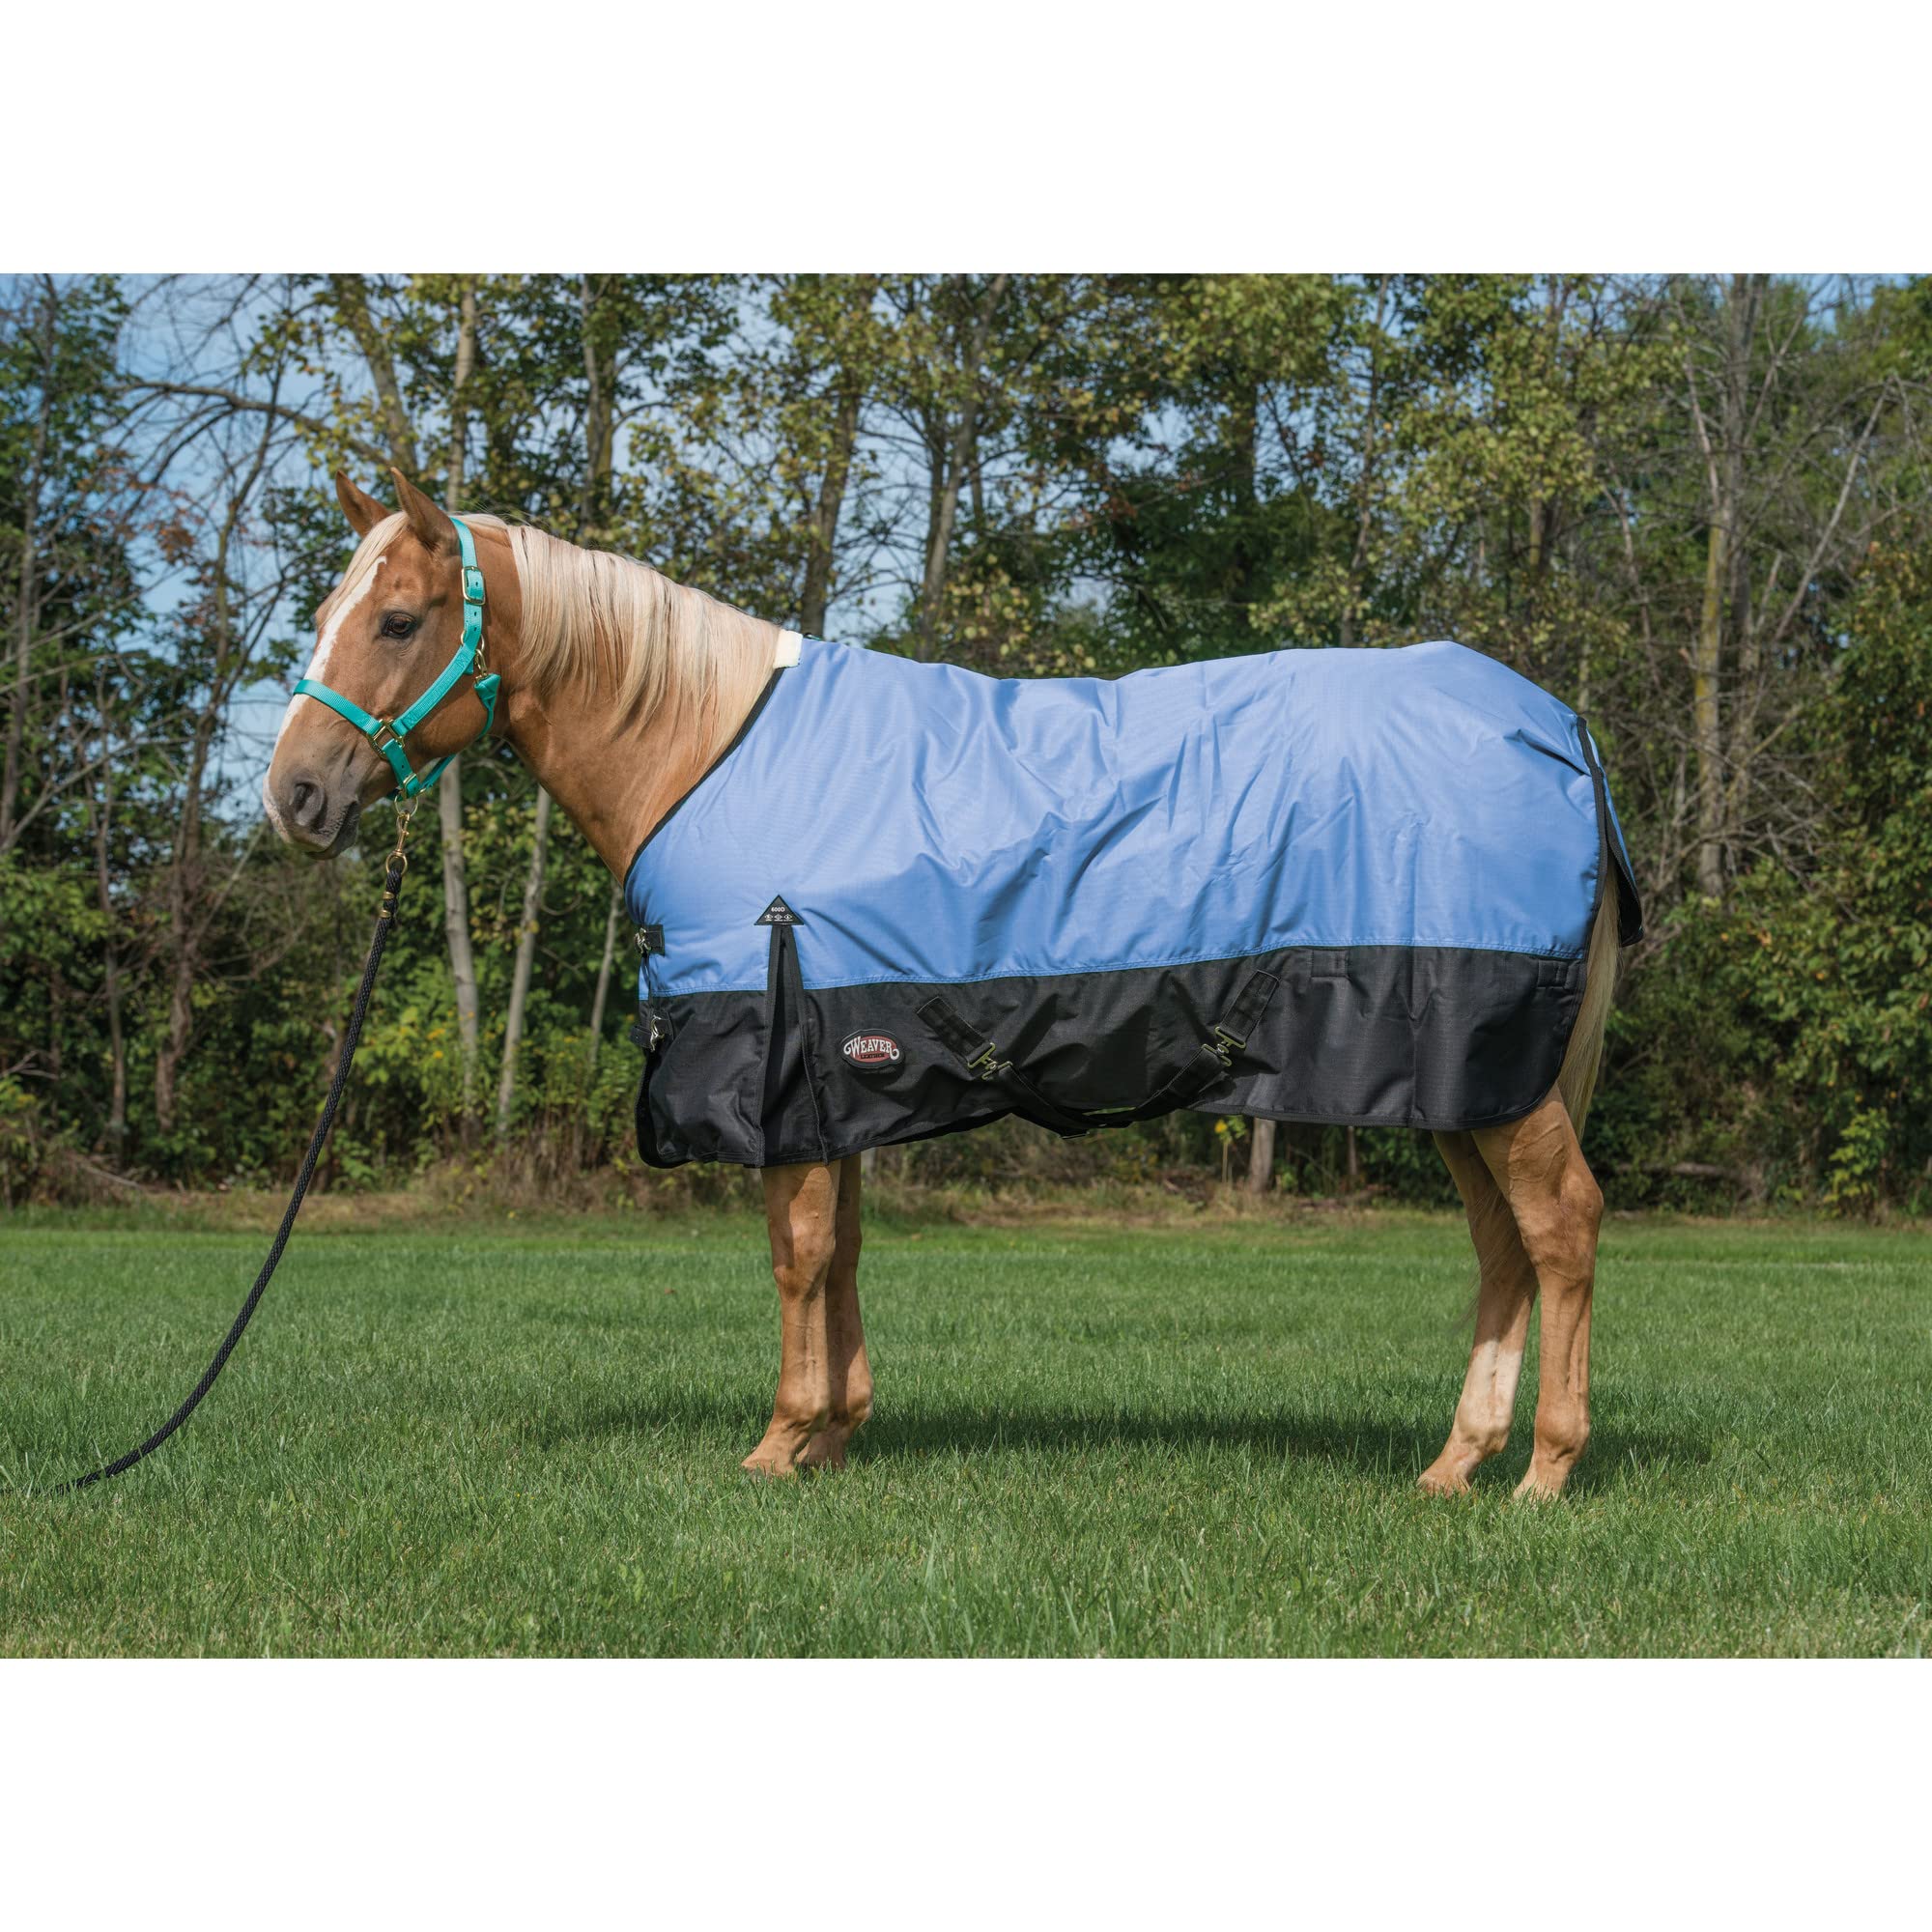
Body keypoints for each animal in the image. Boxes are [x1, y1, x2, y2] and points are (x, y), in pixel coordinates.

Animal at [264, 468, 1633, 1498]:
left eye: (398, 620)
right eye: (325, 610)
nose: (295, 796)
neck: (704, 745)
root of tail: (1558, 723)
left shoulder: (778, 1054)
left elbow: (796, 1253)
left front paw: (776, 1443)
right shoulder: (839, 1068)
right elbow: (844, 1251)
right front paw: (834, 1433)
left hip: (1491, 1064)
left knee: (1559, 1226)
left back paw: (1542, 1471)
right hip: (1462, 1079)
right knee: (1500, 1246)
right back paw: (1454, 1463)